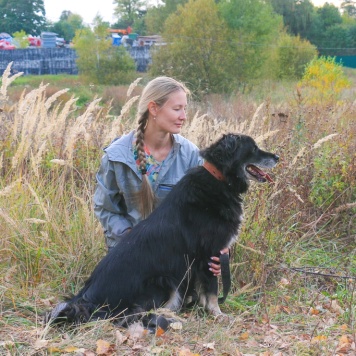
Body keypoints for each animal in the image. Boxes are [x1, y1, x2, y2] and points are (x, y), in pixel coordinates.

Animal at [46, 134, 278, 326]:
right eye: (254, 148)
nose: (277, 156)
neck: (219, 177)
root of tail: (86, 296)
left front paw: (205, 309)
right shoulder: (208, 253)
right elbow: (212, 289)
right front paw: (218, 314)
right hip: (165, 281)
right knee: (136, 312)